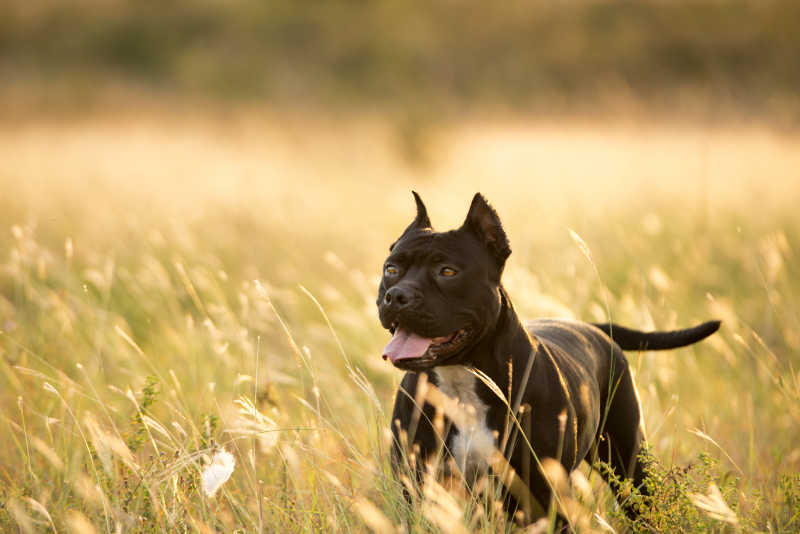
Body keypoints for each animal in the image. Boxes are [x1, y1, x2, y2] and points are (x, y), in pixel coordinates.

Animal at [376, 192, 720, 524]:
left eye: (447, 271)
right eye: (391, 269)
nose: (397, 296)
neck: (461, 380)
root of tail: (591, 327)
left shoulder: (544, 492)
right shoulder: (418, 485)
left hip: (629, 462)